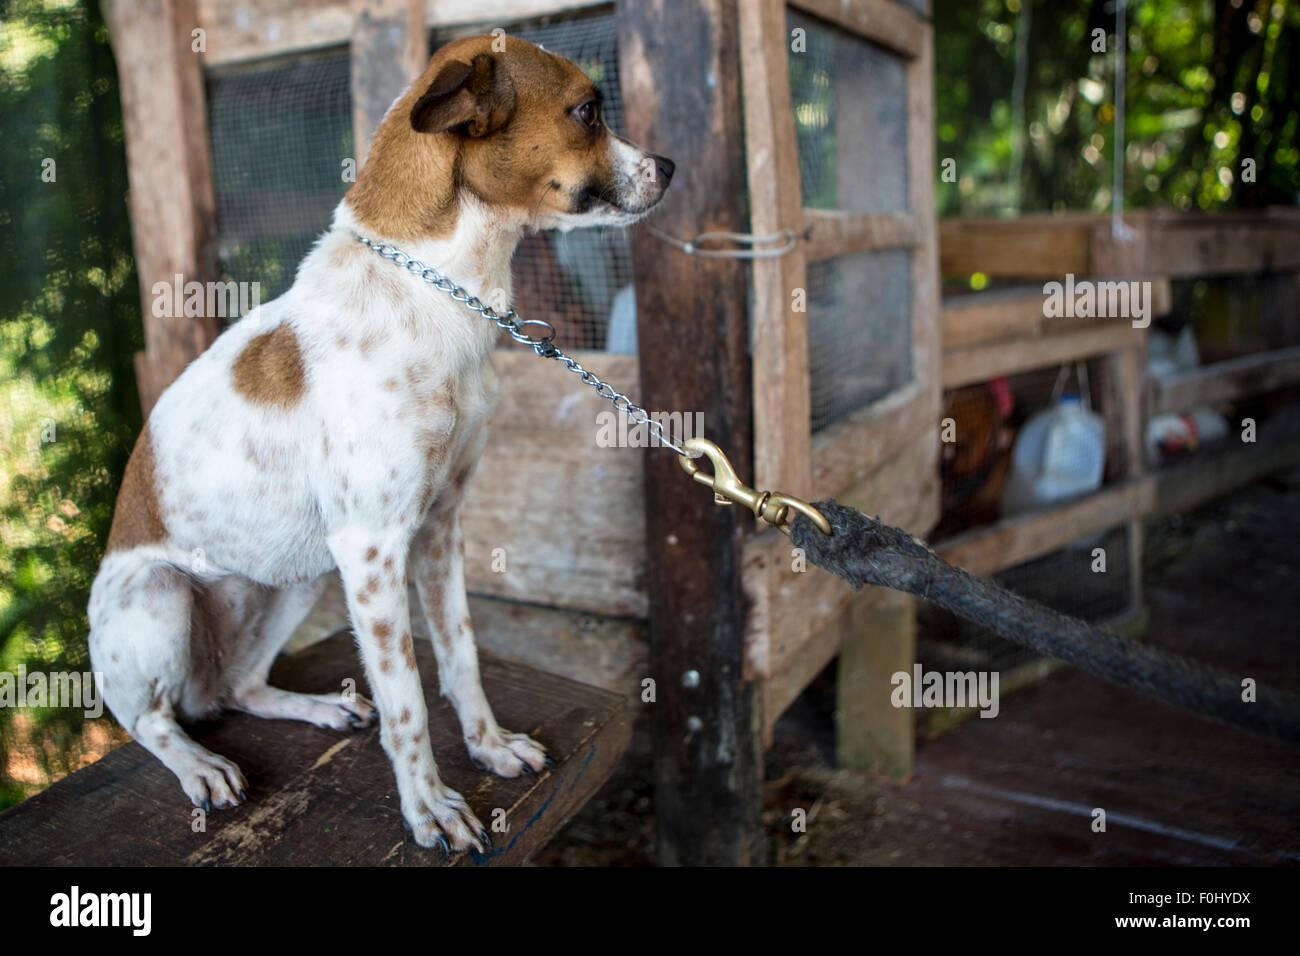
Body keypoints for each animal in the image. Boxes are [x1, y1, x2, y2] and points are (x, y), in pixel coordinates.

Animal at [89, 35, 681, 853]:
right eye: (589, 110)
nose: (671, 166)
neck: (438, 292)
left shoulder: (438, 529)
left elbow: (460, 657)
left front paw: (489, 748)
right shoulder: (373, 548)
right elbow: (408, 700)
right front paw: (428, 806)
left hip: (299, 578)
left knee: (241, 687)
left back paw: (314, 707)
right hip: (163, 594)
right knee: (149, 720)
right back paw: (198, 762)